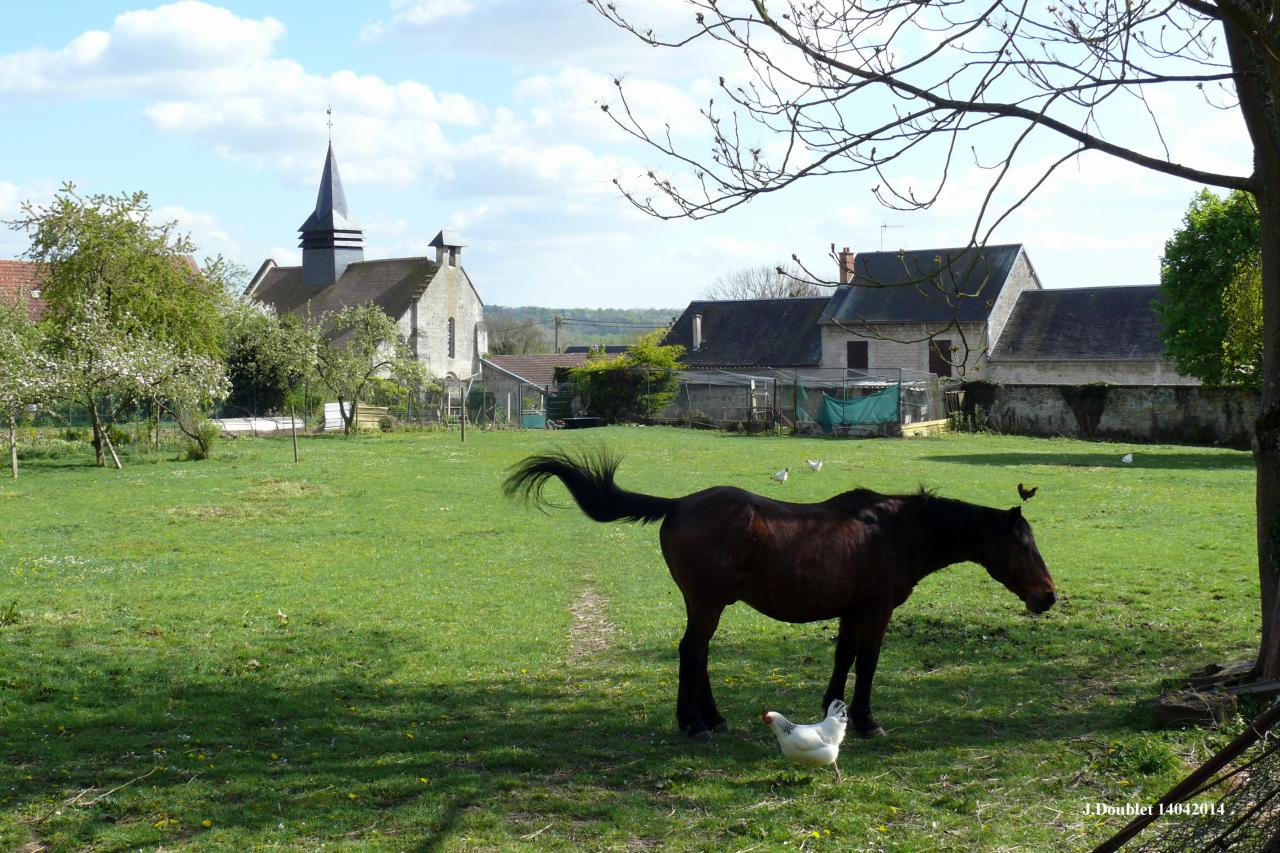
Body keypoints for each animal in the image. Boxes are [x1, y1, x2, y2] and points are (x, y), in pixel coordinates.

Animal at [504, 450, 1054, 737]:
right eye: (1023, 545)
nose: (1047, 596)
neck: (894, 529)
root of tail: (678, 503)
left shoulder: (851, 611)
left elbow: (843, 658)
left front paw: (834, 711)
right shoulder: (875, 611)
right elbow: (868, 663)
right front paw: (867, 720)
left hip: (705, 604)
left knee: (700, 653)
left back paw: (713, 718)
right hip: (707, 603)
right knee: (692, 651)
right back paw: (693, 724)